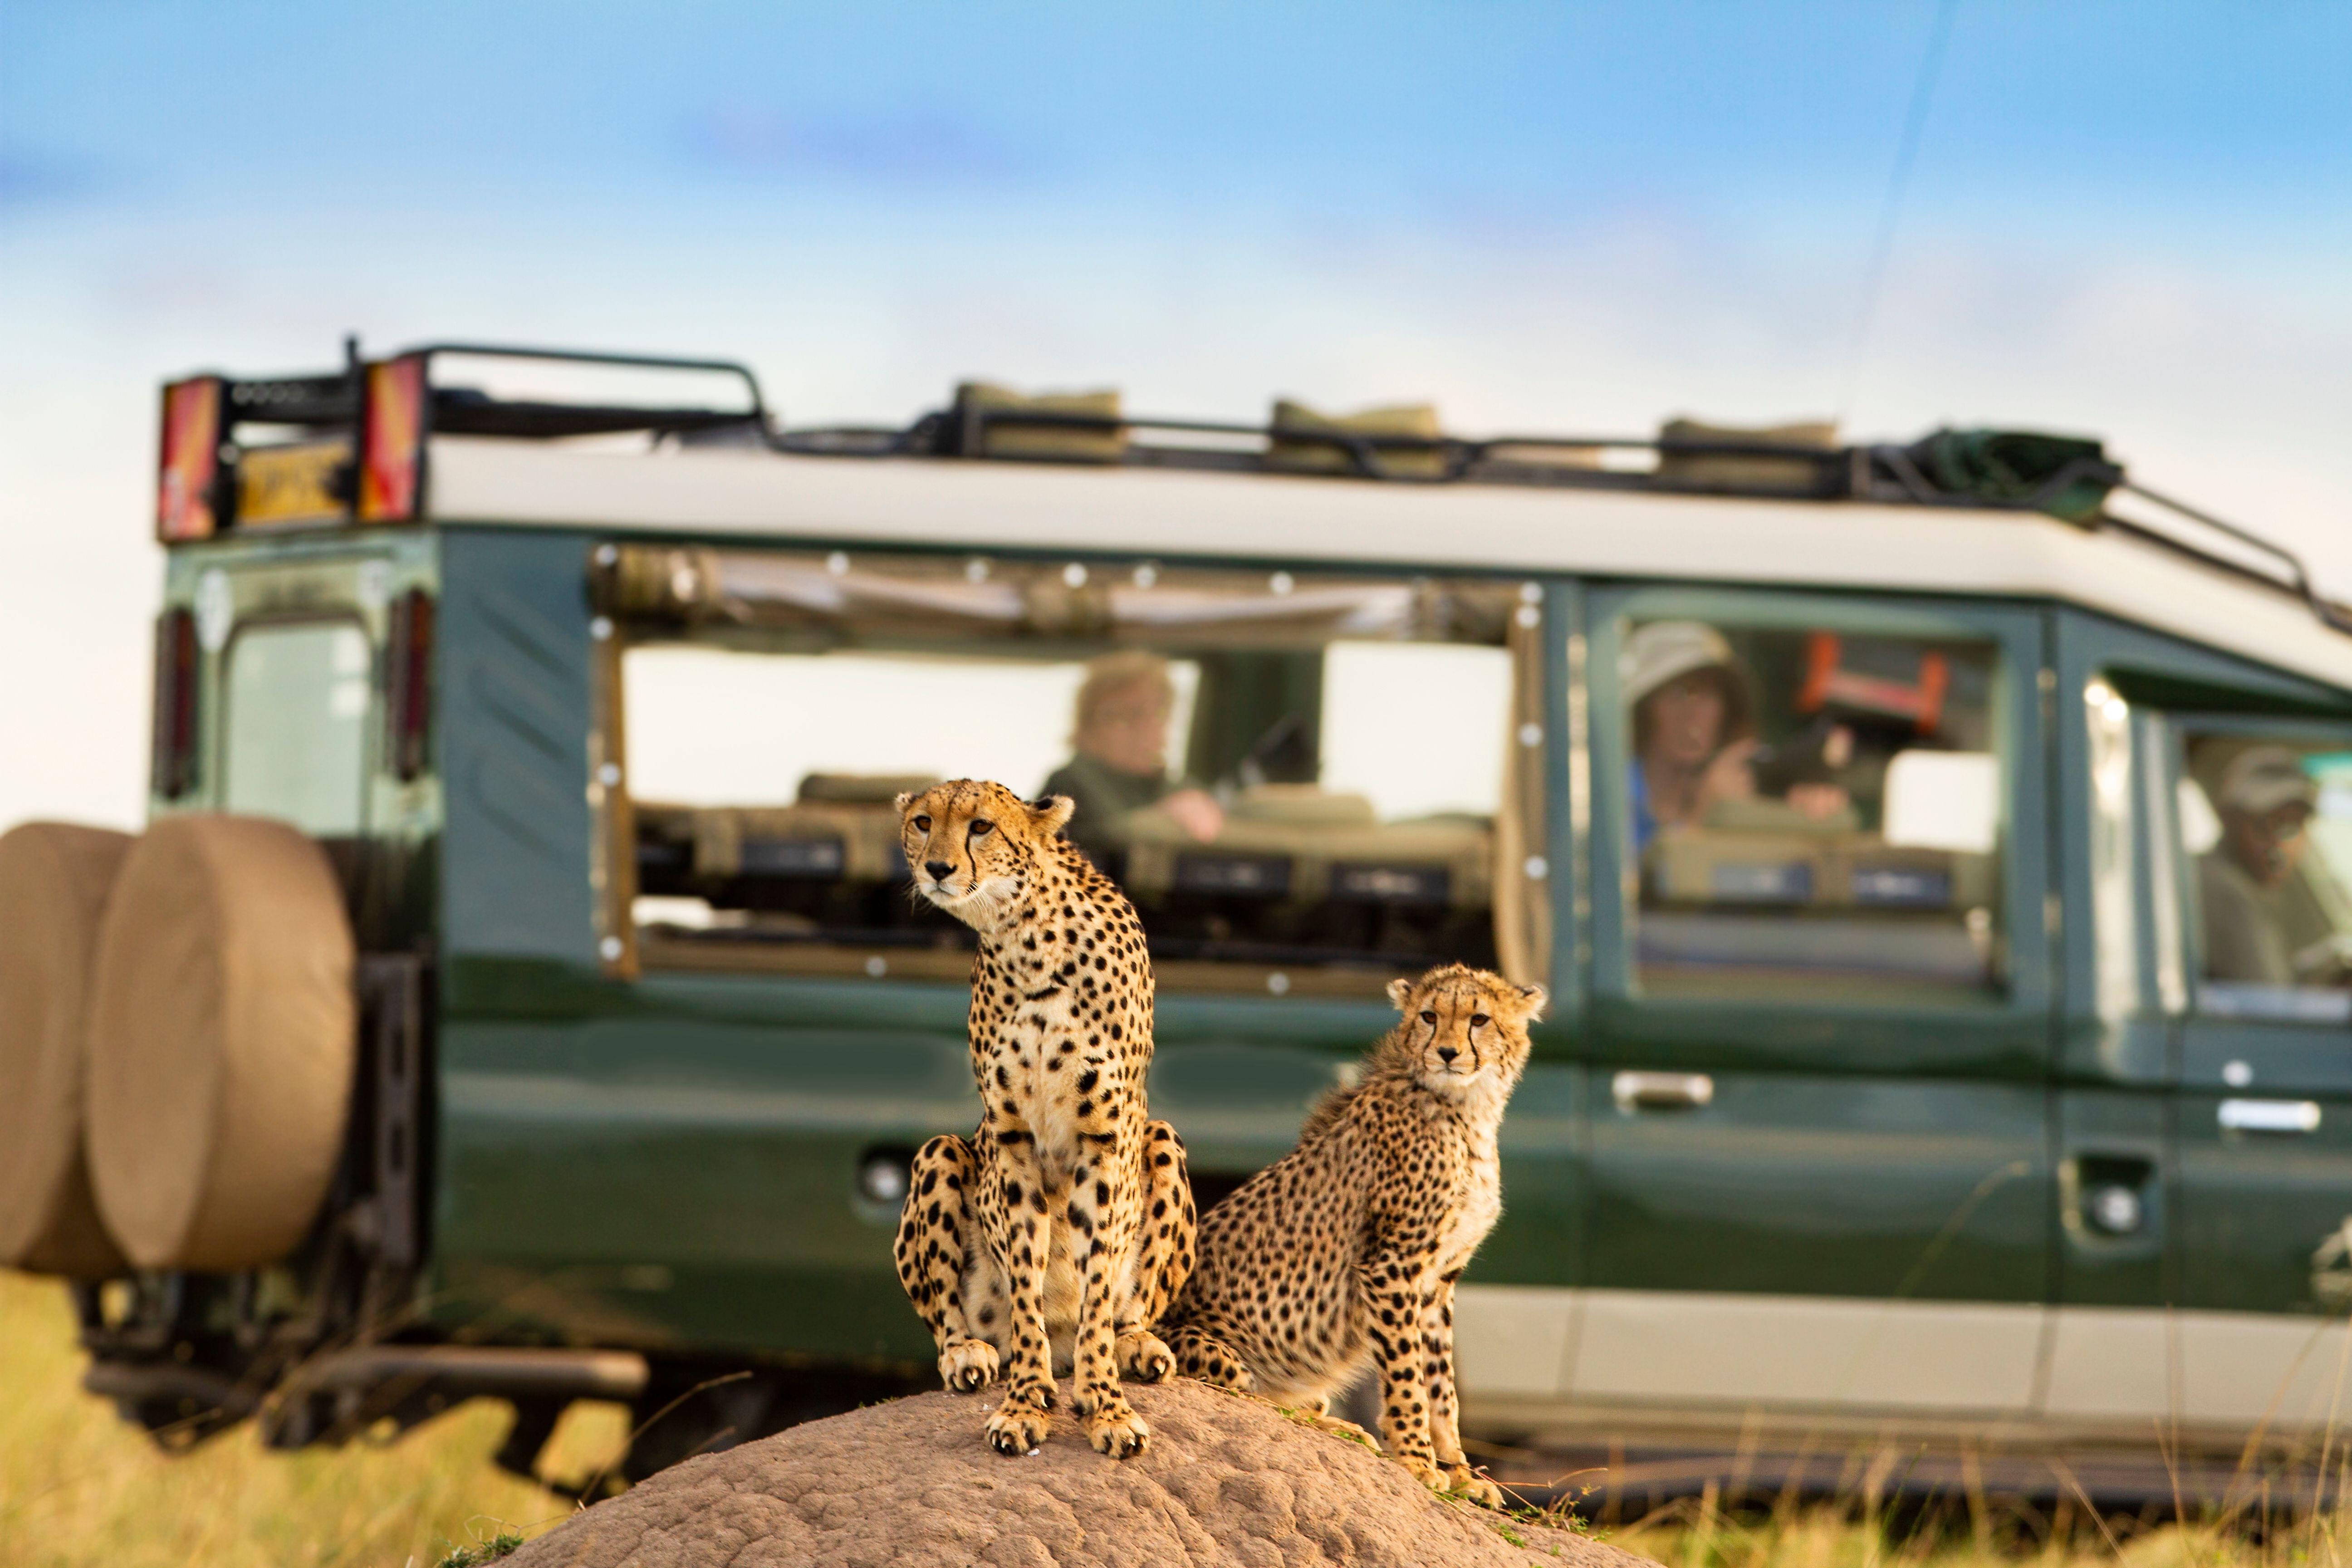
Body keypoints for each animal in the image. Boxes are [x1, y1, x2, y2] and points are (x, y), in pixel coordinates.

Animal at [893, 780, 1204, 1457]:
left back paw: (1133, 1346)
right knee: (954, 1317)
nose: (937, 868)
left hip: (1161, 1141)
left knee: (1125, 1308)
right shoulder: (1012, 1141)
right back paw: (968, 1354)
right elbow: (1027, 1281)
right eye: (923, 822)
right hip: (941, 1152)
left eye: (981, 826)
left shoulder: (1104, 1139)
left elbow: (1096, 1284)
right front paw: (1026, 1402)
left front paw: (1106, 1406)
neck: (1027, 943)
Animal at [1157, 964, 1543, 1504]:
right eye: (1429, 1016)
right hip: (1217, 1354)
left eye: (1479, 1019)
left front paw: (1462, 1473)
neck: (1468, 1108)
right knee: (1255, 1401)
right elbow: (1406, 1374)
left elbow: (1441, 1385)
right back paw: (1342, 1430)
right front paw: (1419, 1462)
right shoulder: (1392, 1266)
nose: (1447, 1053)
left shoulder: (1439, 1280)